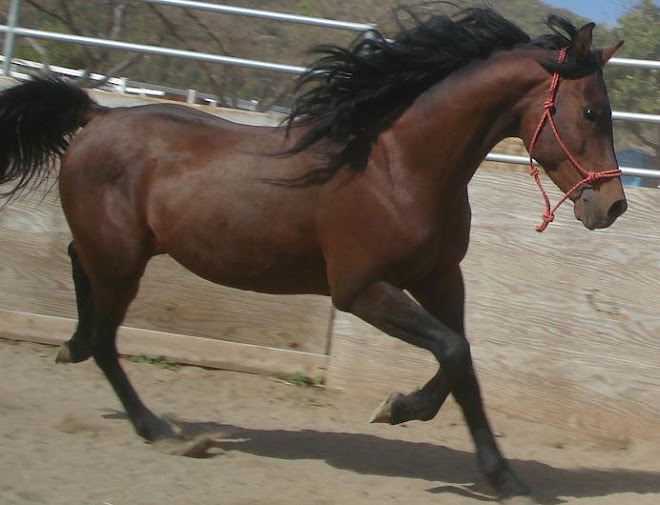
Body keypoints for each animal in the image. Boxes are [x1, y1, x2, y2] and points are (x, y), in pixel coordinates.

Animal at [0, 7, 626, 504]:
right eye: (591, 113)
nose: (613, 206)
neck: (399, 167)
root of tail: (98, 116)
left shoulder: (442, 278)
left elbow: (462, 360)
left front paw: (476, 459)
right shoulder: (361, 290)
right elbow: (454, 350)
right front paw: (413, 419)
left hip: (116, 252)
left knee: (78, 270)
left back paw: (73, 348)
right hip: (122, 261)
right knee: (107, 338)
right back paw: (161, 429)